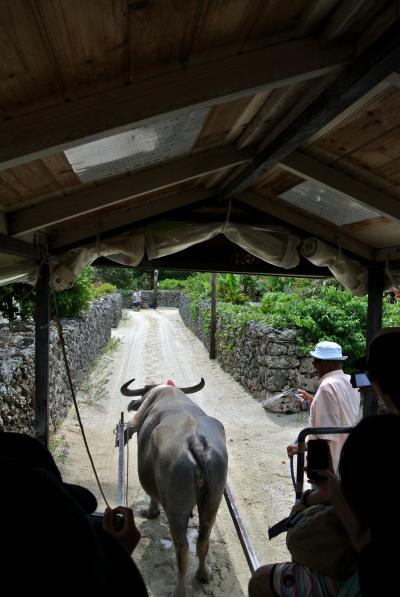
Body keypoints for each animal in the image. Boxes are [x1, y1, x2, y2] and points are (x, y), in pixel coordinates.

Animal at [120, 378, 227, 596]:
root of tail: (195, 439)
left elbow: (152, 495)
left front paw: (151, 512)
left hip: (177, 509)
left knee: (182, 549)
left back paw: (179, 590)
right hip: (213, 502)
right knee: (203, 540)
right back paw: (203, 573)